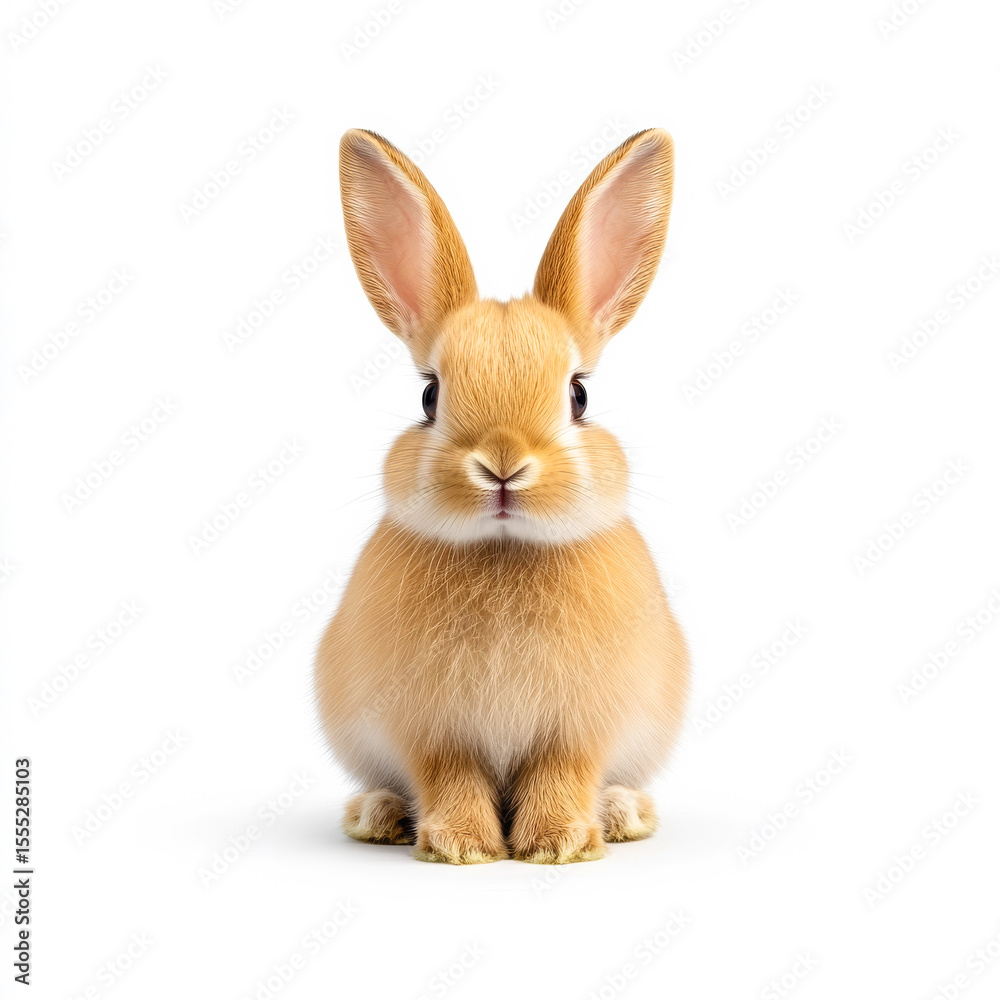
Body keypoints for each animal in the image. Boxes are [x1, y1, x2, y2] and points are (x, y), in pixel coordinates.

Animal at [314, 127, 689, 864]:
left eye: (579, 395)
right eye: (429, 397)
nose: (504, 465)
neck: (504, 549)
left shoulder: (577, 730)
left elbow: (561, 773)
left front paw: (558, 843)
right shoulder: (433, 731)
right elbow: (449, 776)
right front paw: (461, 846)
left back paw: (623, 812)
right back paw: (376, 815)